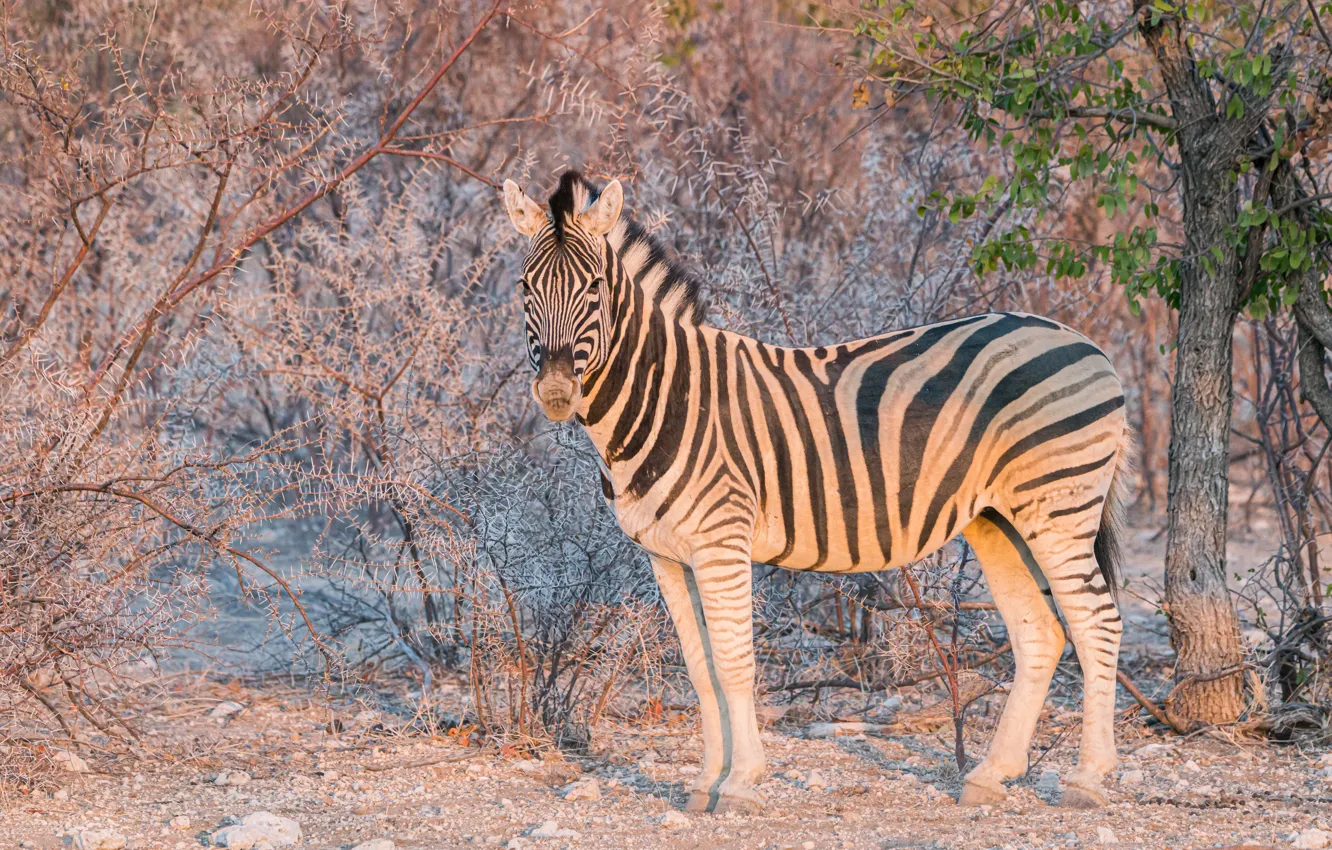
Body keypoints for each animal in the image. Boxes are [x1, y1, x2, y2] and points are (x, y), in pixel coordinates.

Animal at [501, 171, 1130, 814]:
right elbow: (701, 668)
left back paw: (1088, 778)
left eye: (595, 288)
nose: (555, 392)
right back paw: (991, 774)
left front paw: (740, 782)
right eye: (526, 287)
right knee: (1040, 631)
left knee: (1098, 621)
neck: (664, 397)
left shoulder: (721, 541)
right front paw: (704, 784)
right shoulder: (666, 555)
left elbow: (734, 664)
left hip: (1060, 506)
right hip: (998, 518)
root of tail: (1082, 339)